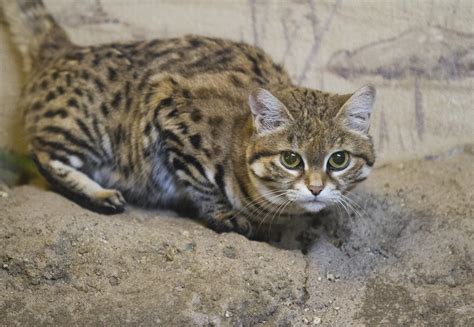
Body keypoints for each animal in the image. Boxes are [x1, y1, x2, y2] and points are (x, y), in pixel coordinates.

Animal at [1, 1, 376, 240]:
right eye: (291, 159)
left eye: (338, 159)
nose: (316, 188)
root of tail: (64, 48)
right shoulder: (167, 108)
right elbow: (201, 182)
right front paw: (225, 214)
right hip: (85, 128)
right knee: (42, 153)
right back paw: (100, 194)